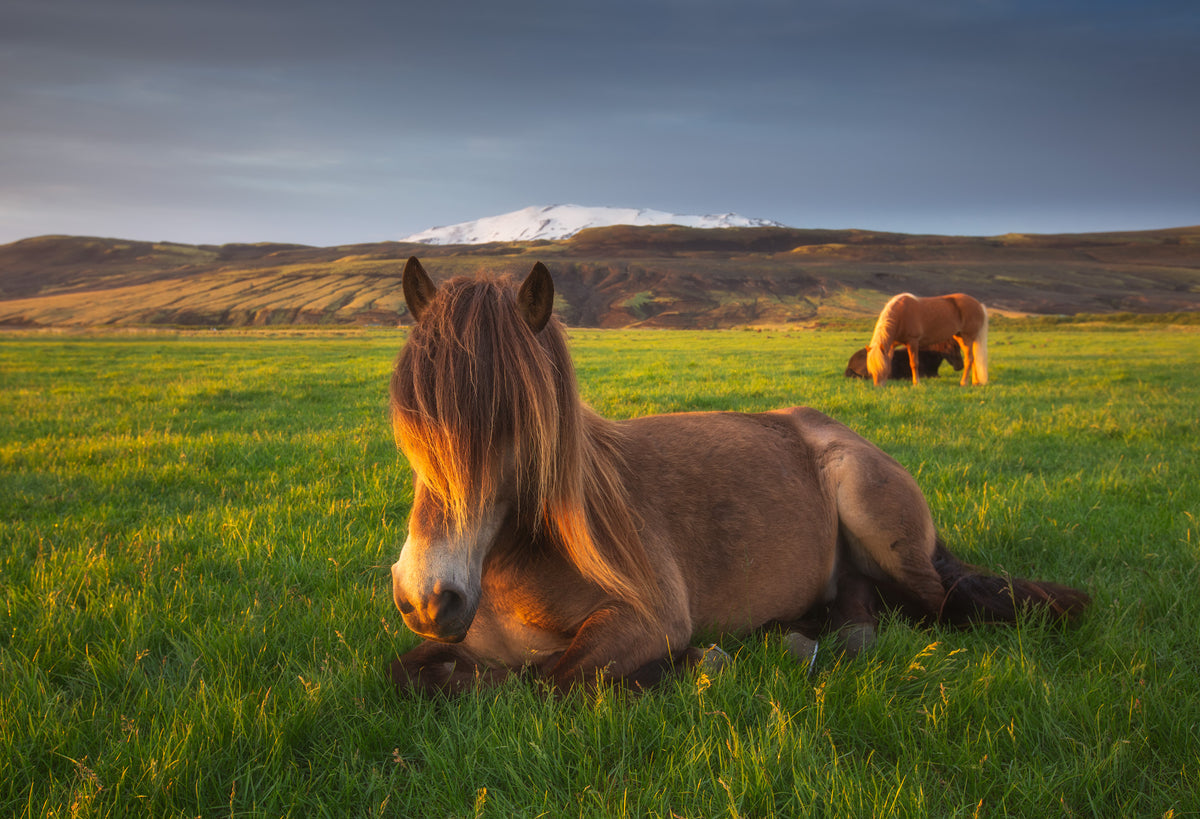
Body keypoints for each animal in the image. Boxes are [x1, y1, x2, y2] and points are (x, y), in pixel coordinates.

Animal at [384, 258, 1089, 691]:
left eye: (517, 425)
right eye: (409, 421)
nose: (428, 597)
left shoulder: (646, 621)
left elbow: (555, 678)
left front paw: (697, 663)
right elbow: (414, 671)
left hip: (878, 523)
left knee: (941, 604)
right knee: (858, 605)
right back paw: (803, 636)